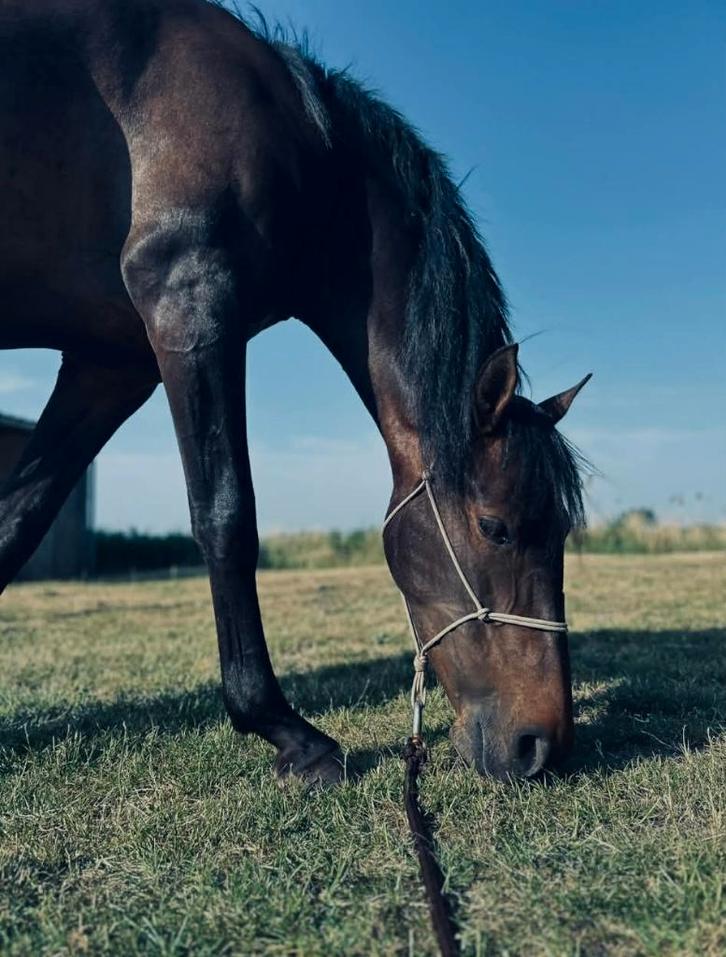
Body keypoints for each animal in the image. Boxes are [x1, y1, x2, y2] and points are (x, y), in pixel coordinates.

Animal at [0, 0, 590, 782]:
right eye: (496, 527)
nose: (542, 745)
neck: (303, 147)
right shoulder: (190, 305)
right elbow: (226, 516)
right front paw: (287, 731)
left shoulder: (110, 362)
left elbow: (18, 520)